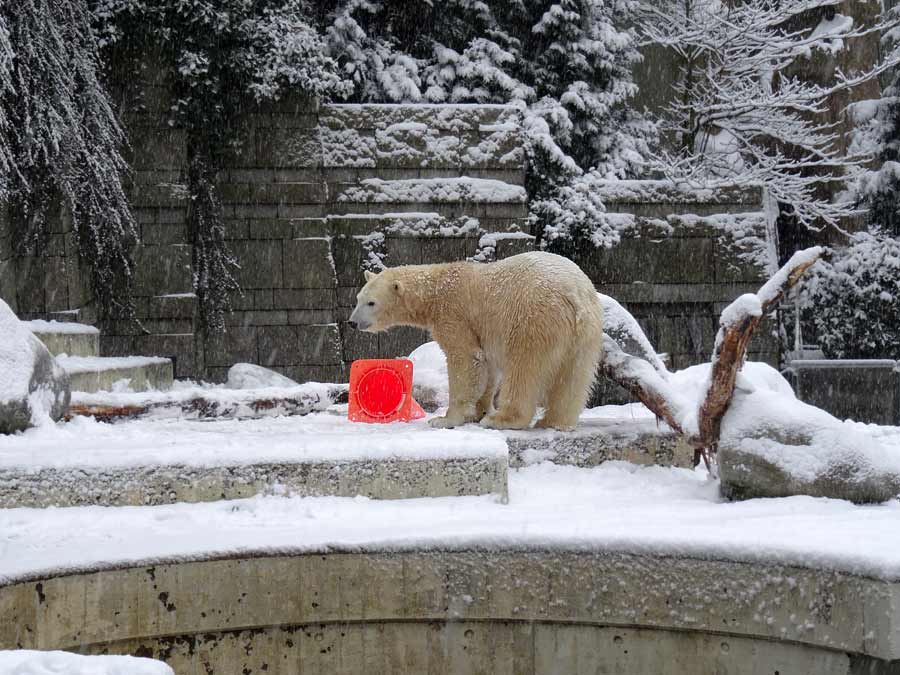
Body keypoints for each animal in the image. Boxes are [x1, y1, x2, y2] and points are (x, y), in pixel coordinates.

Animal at [348, 251, 600, 430]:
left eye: (371, 302)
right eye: (358, 298)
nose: (352, 322)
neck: (437, 287)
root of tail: (575, 295)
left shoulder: (455, 314)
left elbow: (465, 358)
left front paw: (446, 419)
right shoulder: (485, 332)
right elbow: (487, 367)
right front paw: (481, 411)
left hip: (534, 318)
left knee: (524, 369)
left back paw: (503, 419)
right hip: (585, 335)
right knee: (573, 377)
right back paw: (554, 421)